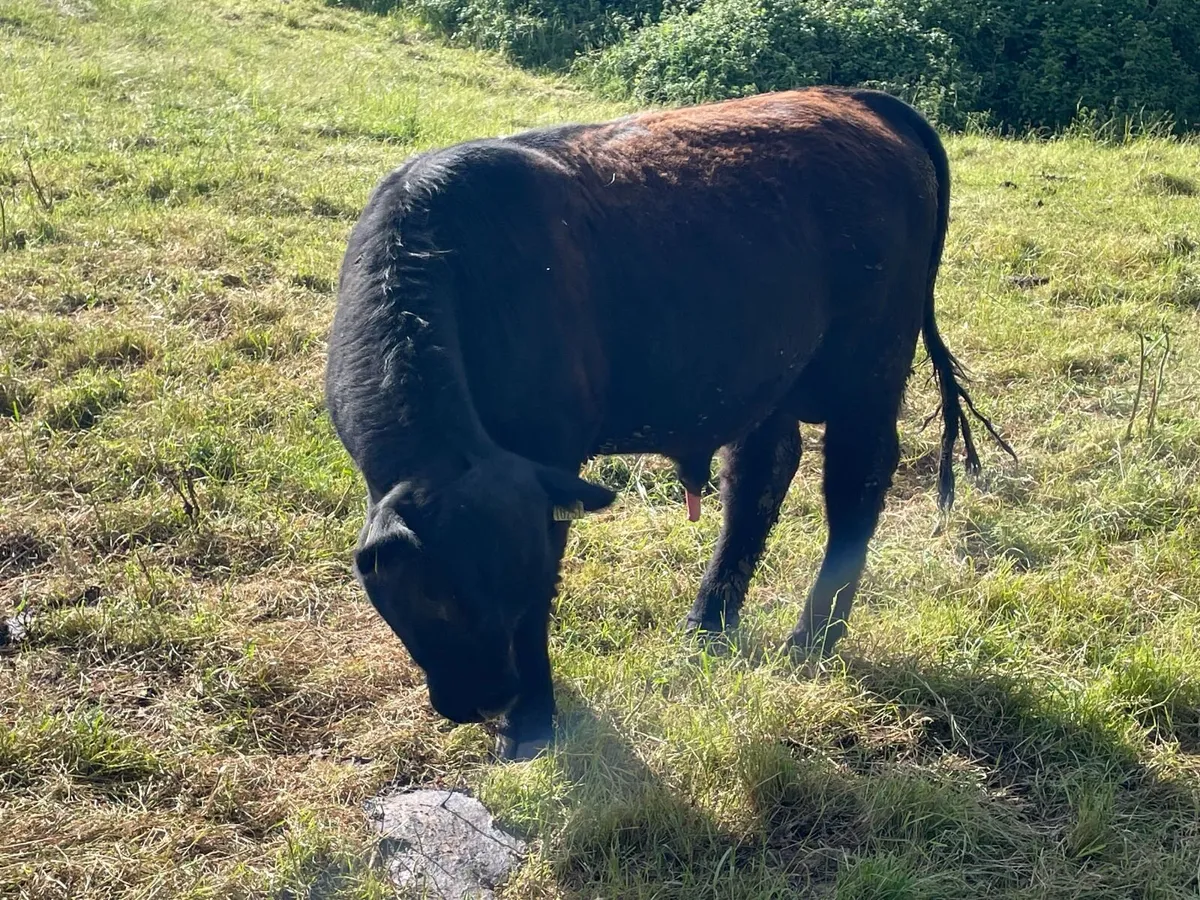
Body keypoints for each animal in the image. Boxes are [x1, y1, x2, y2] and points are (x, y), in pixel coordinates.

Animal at [324, 86, 1013, 761]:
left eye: (510, 587)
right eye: (435, 596)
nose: (492, 698)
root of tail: (862, 99)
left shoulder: (551, 460)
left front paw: (533, 724)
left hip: (868, 373)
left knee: (855, 487)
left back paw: (810, 640)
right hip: (770, 376)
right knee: (760, 478)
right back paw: (708, 625)